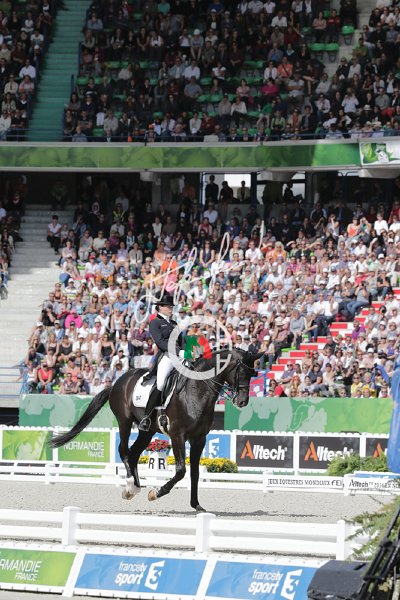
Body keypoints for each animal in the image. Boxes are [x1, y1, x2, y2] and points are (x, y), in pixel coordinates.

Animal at [50, 348, 261, 511]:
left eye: (253, 374)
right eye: (242, 371)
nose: (242, 402)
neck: (196, 389)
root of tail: (118, 381)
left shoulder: (199, 438)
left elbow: (195, 473)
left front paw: (196, 505)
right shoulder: (177, 435)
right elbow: (181, 471)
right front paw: (156, 493)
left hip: (147, 431)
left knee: (133, 454)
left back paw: (134, 487)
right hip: (125, 422)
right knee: (123, 451)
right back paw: (131, 488)